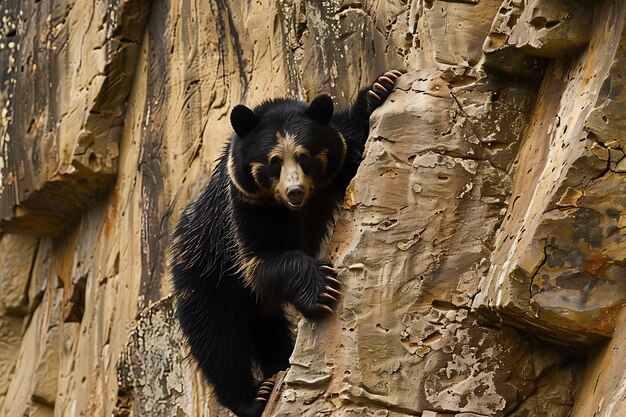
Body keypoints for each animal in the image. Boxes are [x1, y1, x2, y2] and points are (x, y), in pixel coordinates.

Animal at [169, 70, 400, 414]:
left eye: (305, 156)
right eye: (273, 161)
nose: (294, 192)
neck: (294, 207)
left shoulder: (337, 163)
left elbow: (351, 139)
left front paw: (381, 86)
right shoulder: (243, 204)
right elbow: (261, 259)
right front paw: (324, 288)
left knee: (267, 330)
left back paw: (280, 364)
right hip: (203, 277)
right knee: (216, 341)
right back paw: (254, 396)